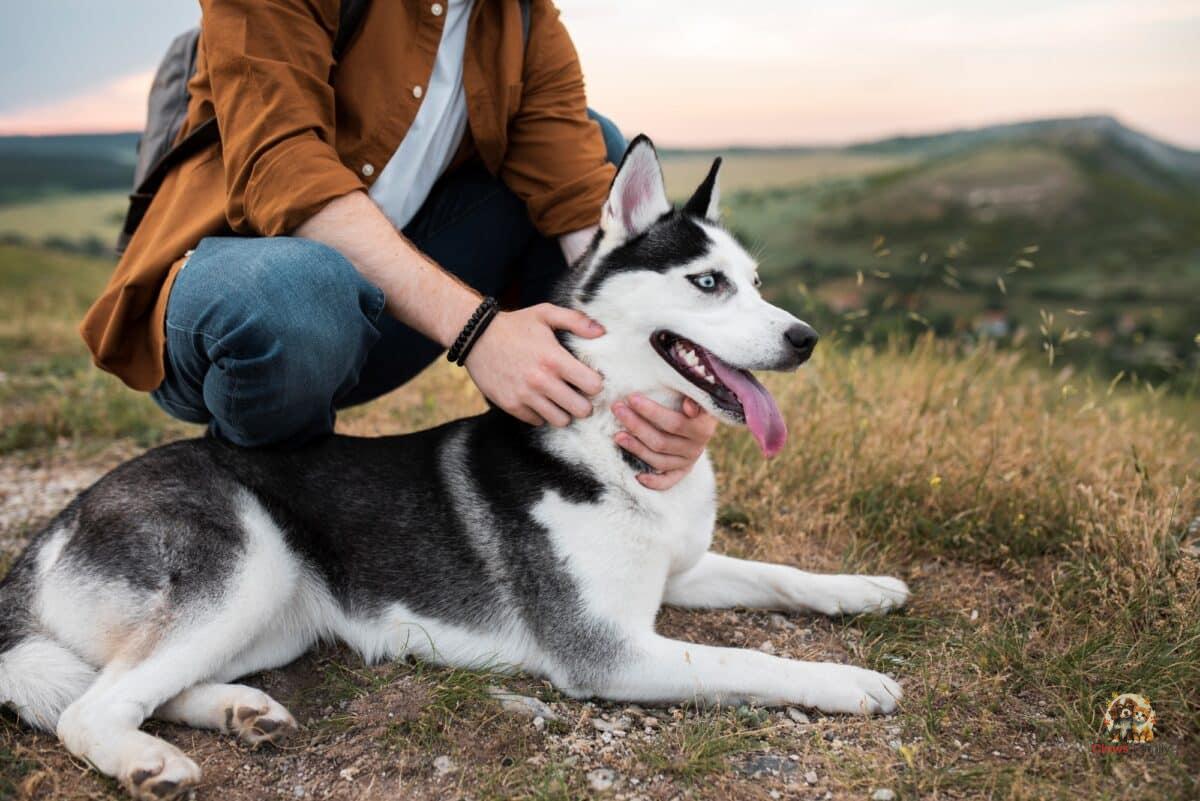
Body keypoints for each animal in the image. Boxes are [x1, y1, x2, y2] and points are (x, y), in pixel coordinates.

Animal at [0, 134, 902, 796]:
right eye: (708, 283)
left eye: (755, 281)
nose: (805, 337)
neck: (606, 439)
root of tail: (60, 519)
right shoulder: (610, 649)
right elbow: (753, 659)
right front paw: (850, 679)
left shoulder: (680, 573)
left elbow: (780, 573)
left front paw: (866, 589)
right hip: (248, 565)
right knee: (89, 706)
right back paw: (149, 760)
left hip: (277, 614)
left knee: (137, 683)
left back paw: (237, 712)